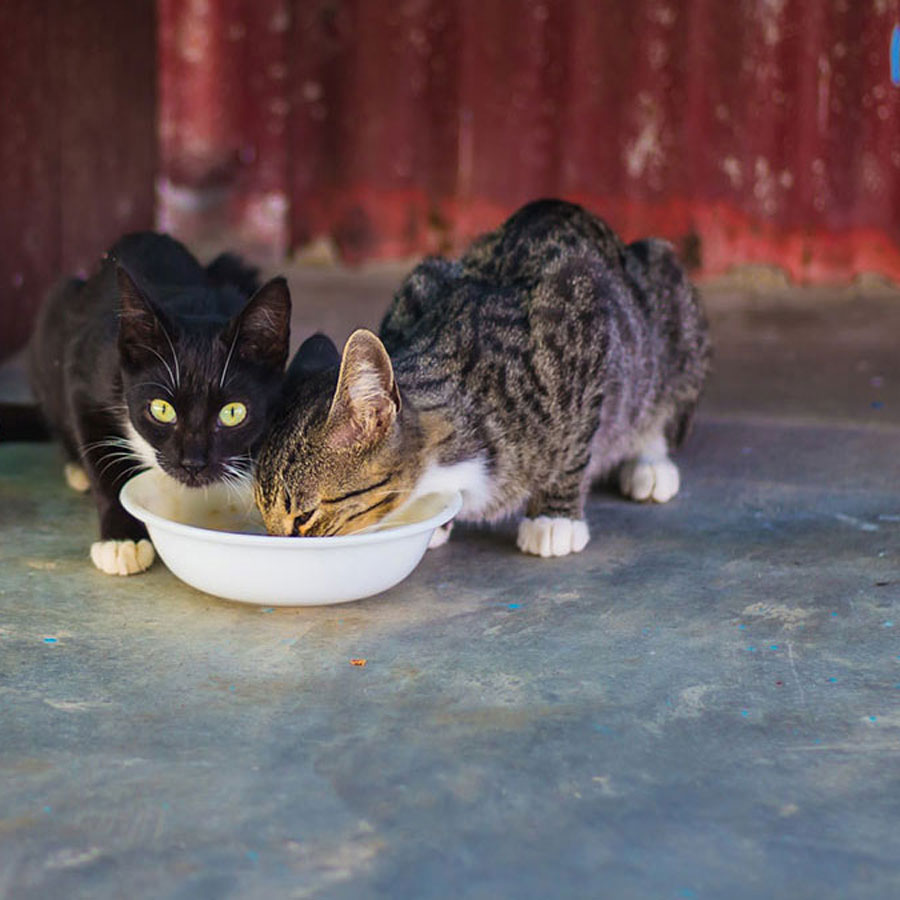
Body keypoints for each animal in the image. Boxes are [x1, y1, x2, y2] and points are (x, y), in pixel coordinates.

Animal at [26, 230, 290, 568]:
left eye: (233, 413)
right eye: (162, 410)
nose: (192, 463)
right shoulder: (84, 375)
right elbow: (103, 460)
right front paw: (121, 540)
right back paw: (77, 469)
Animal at [253, 201, 712, 556]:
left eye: (304, 516)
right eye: (262, 512)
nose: (276, 547)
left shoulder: (582, 310)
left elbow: (575, 443)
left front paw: (554, 515)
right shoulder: (419, 283)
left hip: (669, 311)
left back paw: (649, 460)